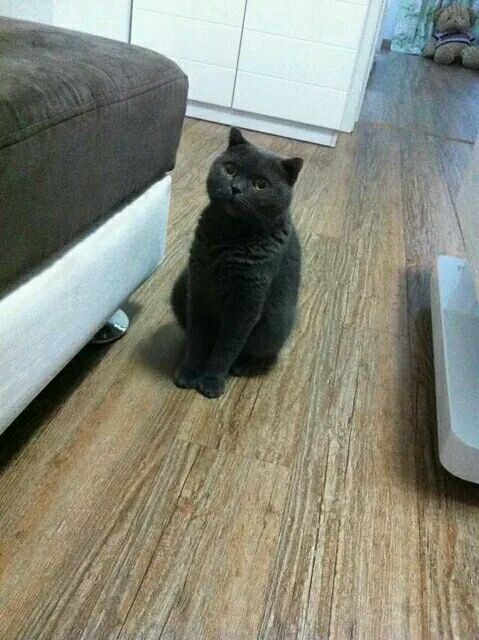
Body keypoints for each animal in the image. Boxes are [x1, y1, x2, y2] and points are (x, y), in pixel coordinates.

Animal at [171, 127, 303, 398]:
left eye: (261, 184)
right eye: (230, 169)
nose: (235, 188)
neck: (229, 236)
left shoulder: (246, 303)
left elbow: (227, 347)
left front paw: (211, 381)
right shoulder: (198, 286)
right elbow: (198, 337)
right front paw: (189, 372)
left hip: (276, 322)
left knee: (260, 352)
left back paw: (242, 366)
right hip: (180, 287)